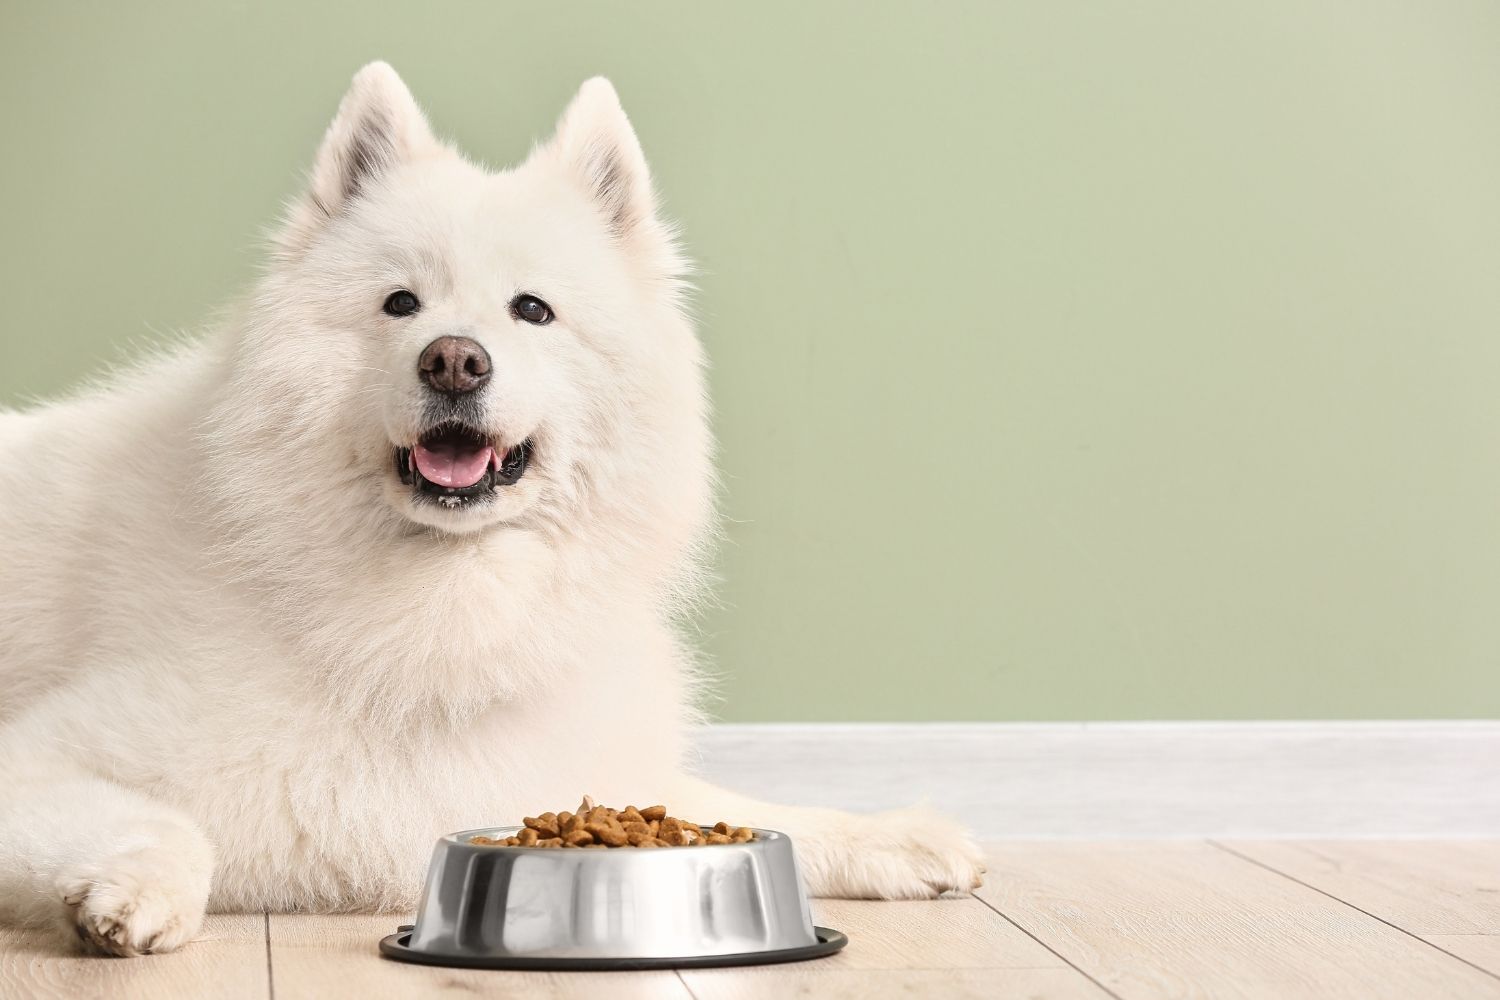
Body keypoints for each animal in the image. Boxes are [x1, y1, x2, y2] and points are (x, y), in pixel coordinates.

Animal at [0, 66, 984, 959]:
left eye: (533, 310)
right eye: (400, 303)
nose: (453, 360)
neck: (446, 599)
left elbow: (744, 811)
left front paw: (894, 835)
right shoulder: (46, 753)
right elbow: (170, 826)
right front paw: (129, 893)